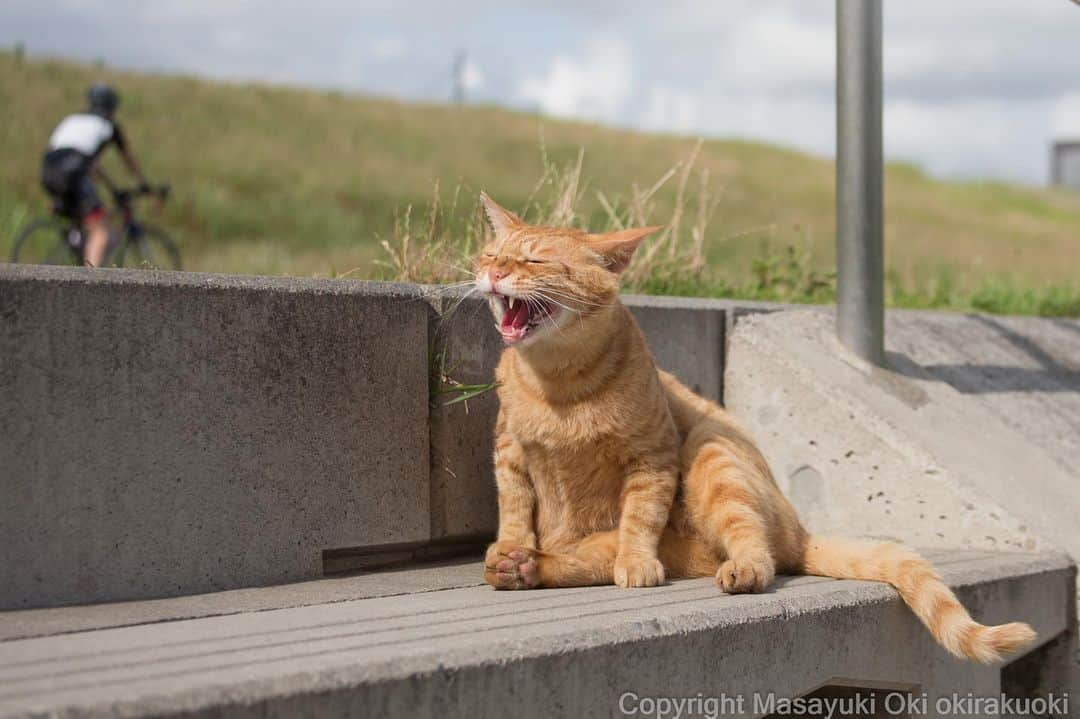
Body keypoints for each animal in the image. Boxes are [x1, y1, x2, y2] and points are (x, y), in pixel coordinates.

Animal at [475, 192, 1036, 660]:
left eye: (533, 260)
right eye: (491, 254)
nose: (494, 272)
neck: (558, 383)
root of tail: (801, 532)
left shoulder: (654, 457)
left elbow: (639, 520)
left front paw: (636, 564)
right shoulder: (508, 452)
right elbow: (515, 507)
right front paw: (510, 544)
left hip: (710, 453)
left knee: (753, 551)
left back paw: (734, 570)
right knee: (583, 557)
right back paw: (519, 566)